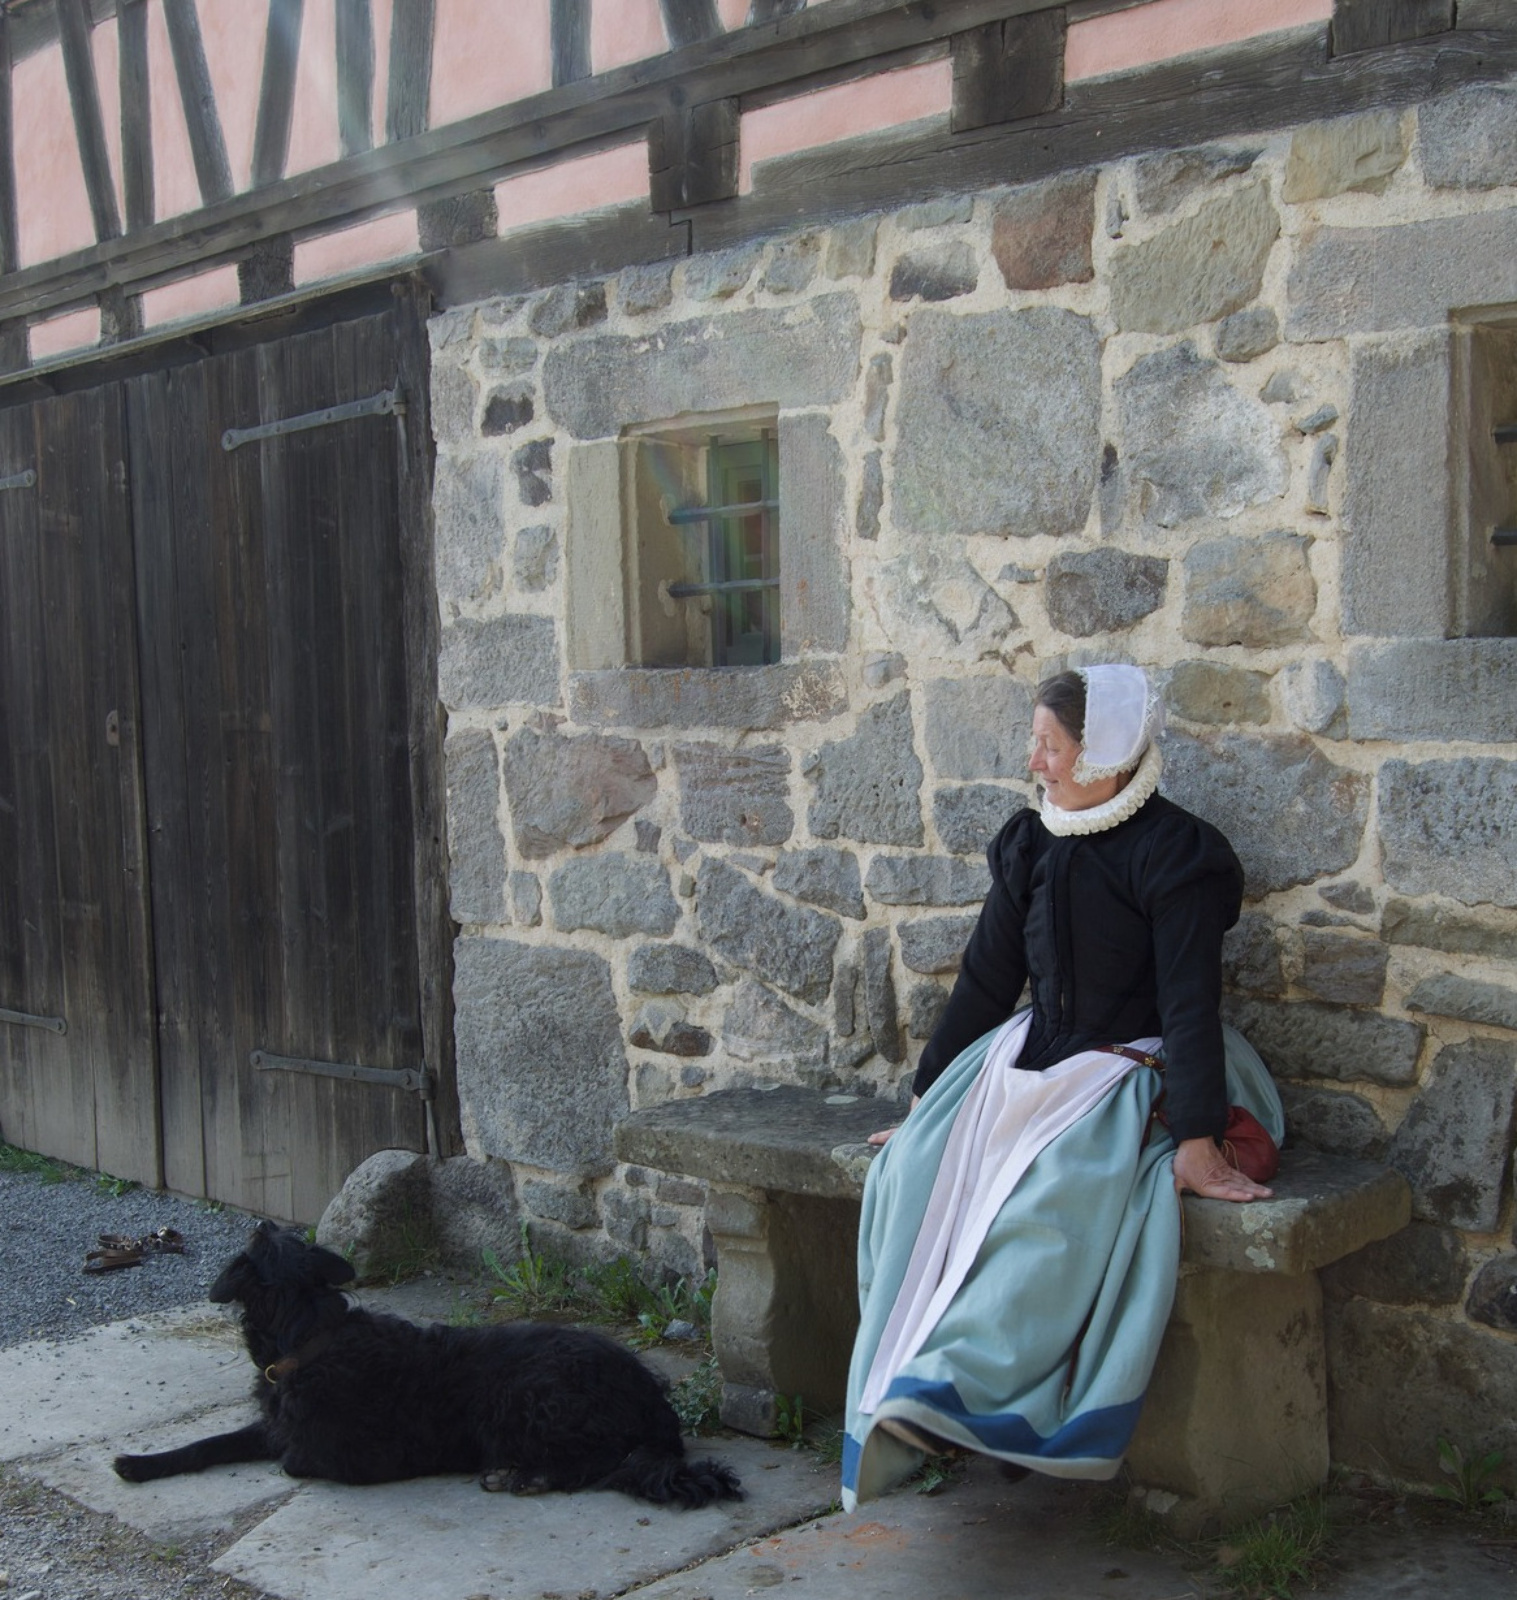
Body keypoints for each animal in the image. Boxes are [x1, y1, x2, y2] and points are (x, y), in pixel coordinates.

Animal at [113, 1221, 742, 1508]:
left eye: (260, 1245)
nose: (264, 1223)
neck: (311, 1336)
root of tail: (656, 1407)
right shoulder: (271, 1425)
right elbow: (207, 1445)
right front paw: (139, 1463)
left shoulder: (341, 1456)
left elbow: (291, 1462)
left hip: (526, 1395)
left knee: (606, 1462)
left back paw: (524, 1475)